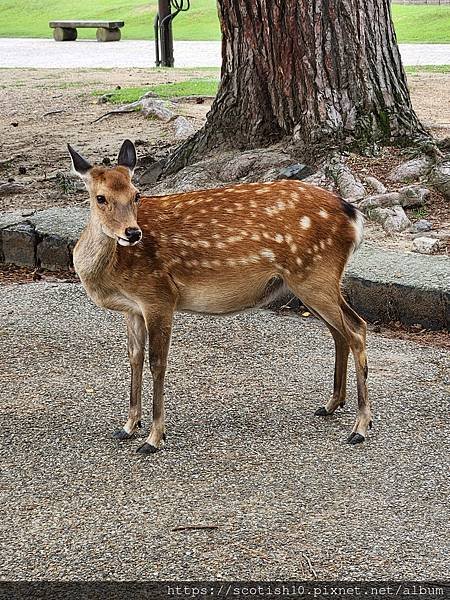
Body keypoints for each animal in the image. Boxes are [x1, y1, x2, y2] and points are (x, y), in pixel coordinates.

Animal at [69, 138, 370, 452]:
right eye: (100, 198)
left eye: (136, 194)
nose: (132, 232)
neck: (112, 271)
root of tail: (354, 215)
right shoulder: (132, 308)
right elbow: (134, 358)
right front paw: (128, 427)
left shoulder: (159, 295)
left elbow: (157, 362)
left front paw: (154, 438)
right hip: (312, 281)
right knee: (339, 332)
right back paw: (331, 404)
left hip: (316, 275)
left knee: (356, 328)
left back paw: (360, 427)